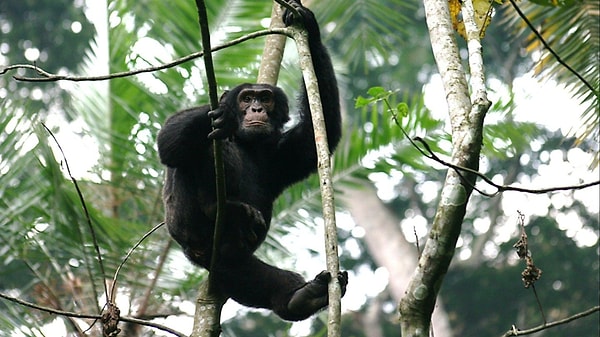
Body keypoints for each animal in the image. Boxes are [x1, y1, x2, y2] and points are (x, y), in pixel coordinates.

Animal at [155, 0, 346, 320]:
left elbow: (320, 132)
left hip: (227, 257)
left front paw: (309, 26)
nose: (256, 107)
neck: (250, 143)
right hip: (190, 232)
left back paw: (302, 297)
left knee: (246, 275)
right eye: (246, 98)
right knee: (199, 151)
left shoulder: (285, 151)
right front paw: (222, 110)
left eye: (265, 98)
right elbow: (168, 140)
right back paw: (220, 207)